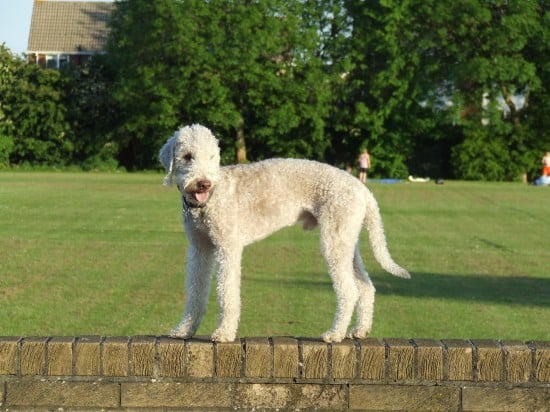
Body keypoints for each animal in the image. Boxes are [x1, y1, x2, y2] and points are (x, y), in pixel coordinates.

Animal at [160, 124, 410, 342]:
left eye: (212, 157)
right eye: (187, 156)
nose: (204, 183)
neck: (208, 202)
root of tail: (364, 190)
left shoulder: (227, 246)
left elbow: (226, 293)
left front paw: (224, 333)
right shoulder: (199, 248)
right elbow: (195, 291)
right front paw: (184, 330)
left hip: (334, 238)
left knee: (349, 290)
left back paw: (334, 334)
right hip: (347, 237)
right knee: (365, 286)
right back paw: (360, 330)